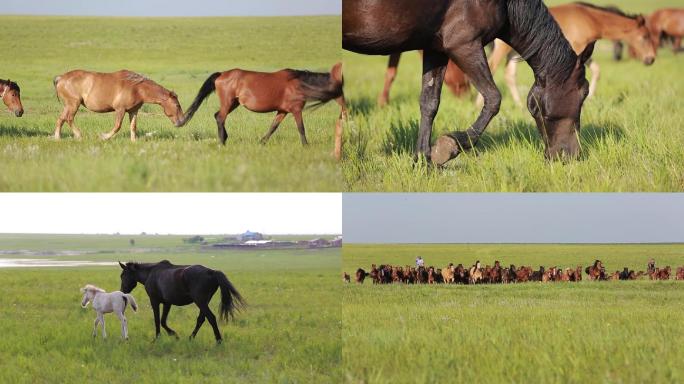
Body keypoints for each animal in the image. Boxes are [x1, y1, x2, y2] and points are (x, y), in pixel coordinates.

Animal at [53, 69, 183, 141]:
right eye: (177, 105)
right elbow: (117, 126)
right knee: (69, 118)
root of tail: (61, 78)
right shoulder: (120, 109)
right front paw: (103, 137)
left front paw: (134, 141)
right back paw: (79, 135)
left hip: (68, 105)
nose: (181, 122)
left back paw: (57, 138)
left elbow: (133, 126)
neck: (136, 88)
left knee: (60, 119)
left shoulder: (133, 111)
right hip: (73, 104)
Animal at [344, 0, 596, 164]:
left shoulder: (436, 48)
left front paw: (423, 160)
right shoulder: (464, 44)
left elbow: (429, 103)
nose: (570, 156)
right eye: (584, 94)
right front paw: (448, 147)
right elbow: (493, 98)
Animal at [484, 3, 656, 106]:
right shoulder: (577, 50)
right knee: (491, 68)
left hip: (514, 53)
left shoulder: (583, 52)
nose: (651, 59)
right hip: (502, 50)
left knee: (509, 75)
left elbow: (596, 70)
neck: (589, 18)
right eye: (645, 37)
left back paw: (519, 104)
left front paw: (590, 97)